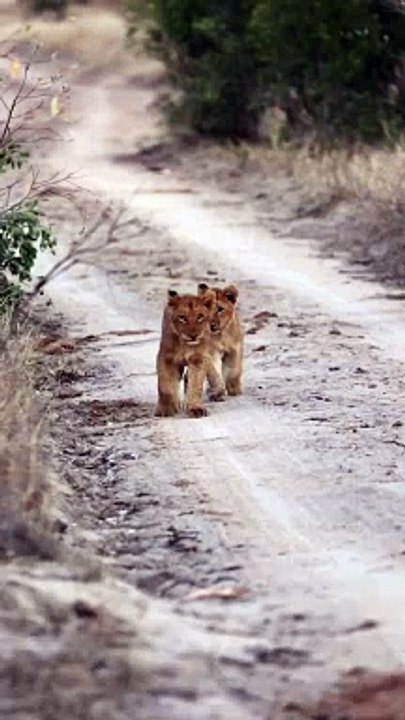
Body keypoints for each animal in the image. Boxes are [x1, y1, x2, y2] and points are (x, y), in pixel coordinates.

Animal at [155, 289, 216, 418]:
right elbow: (165, 385)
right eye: (182, 317)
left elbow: (195, 384)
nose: (193, 335)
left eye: (200, 316)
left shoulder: (198, 359)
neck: (185, 344)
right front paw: (165, 408)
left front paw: (195, 408)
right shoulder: (166, 358)